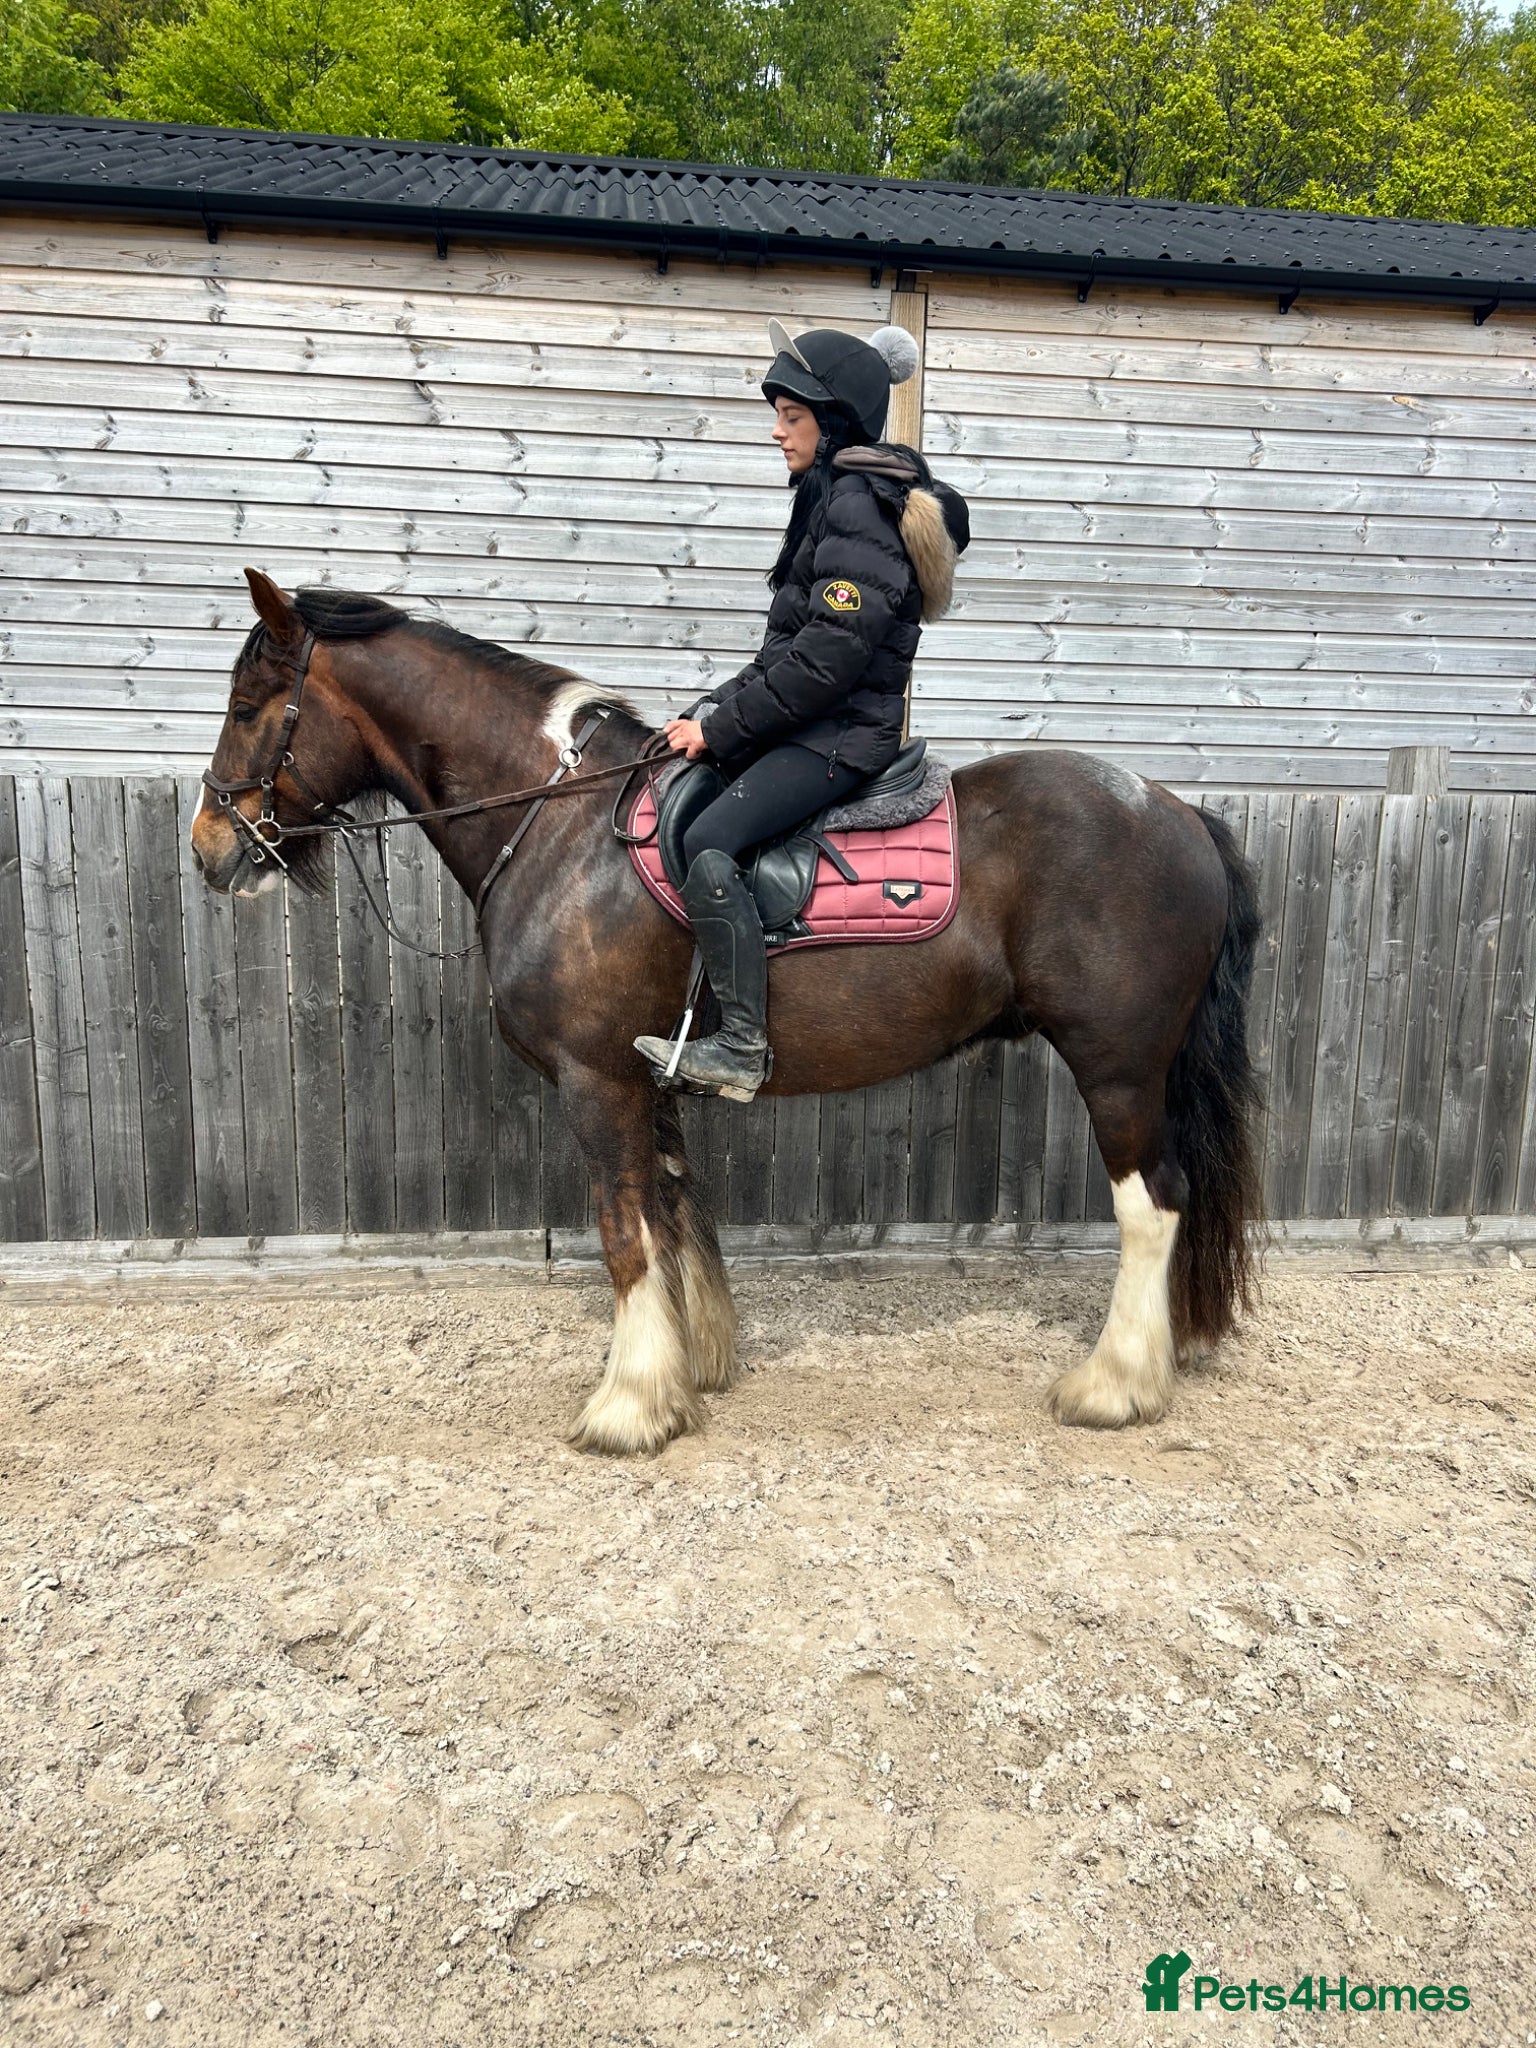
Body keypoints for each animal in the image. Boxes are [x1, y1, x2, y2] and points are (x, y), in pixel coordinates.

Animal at [191, 569, 1264, 1456]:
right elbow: (674, 1214)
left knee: (1152, 1204)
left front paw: (628, 1405)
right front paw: (691, 1367)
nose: (209, 846)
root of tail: (1176, 810)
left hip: (1117, 1066)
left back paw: (1115, 1385)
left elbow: (624, 1232)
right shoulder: (646, 1076)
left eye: (248, 707)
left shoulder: (594, 1079)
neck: (562, 826)